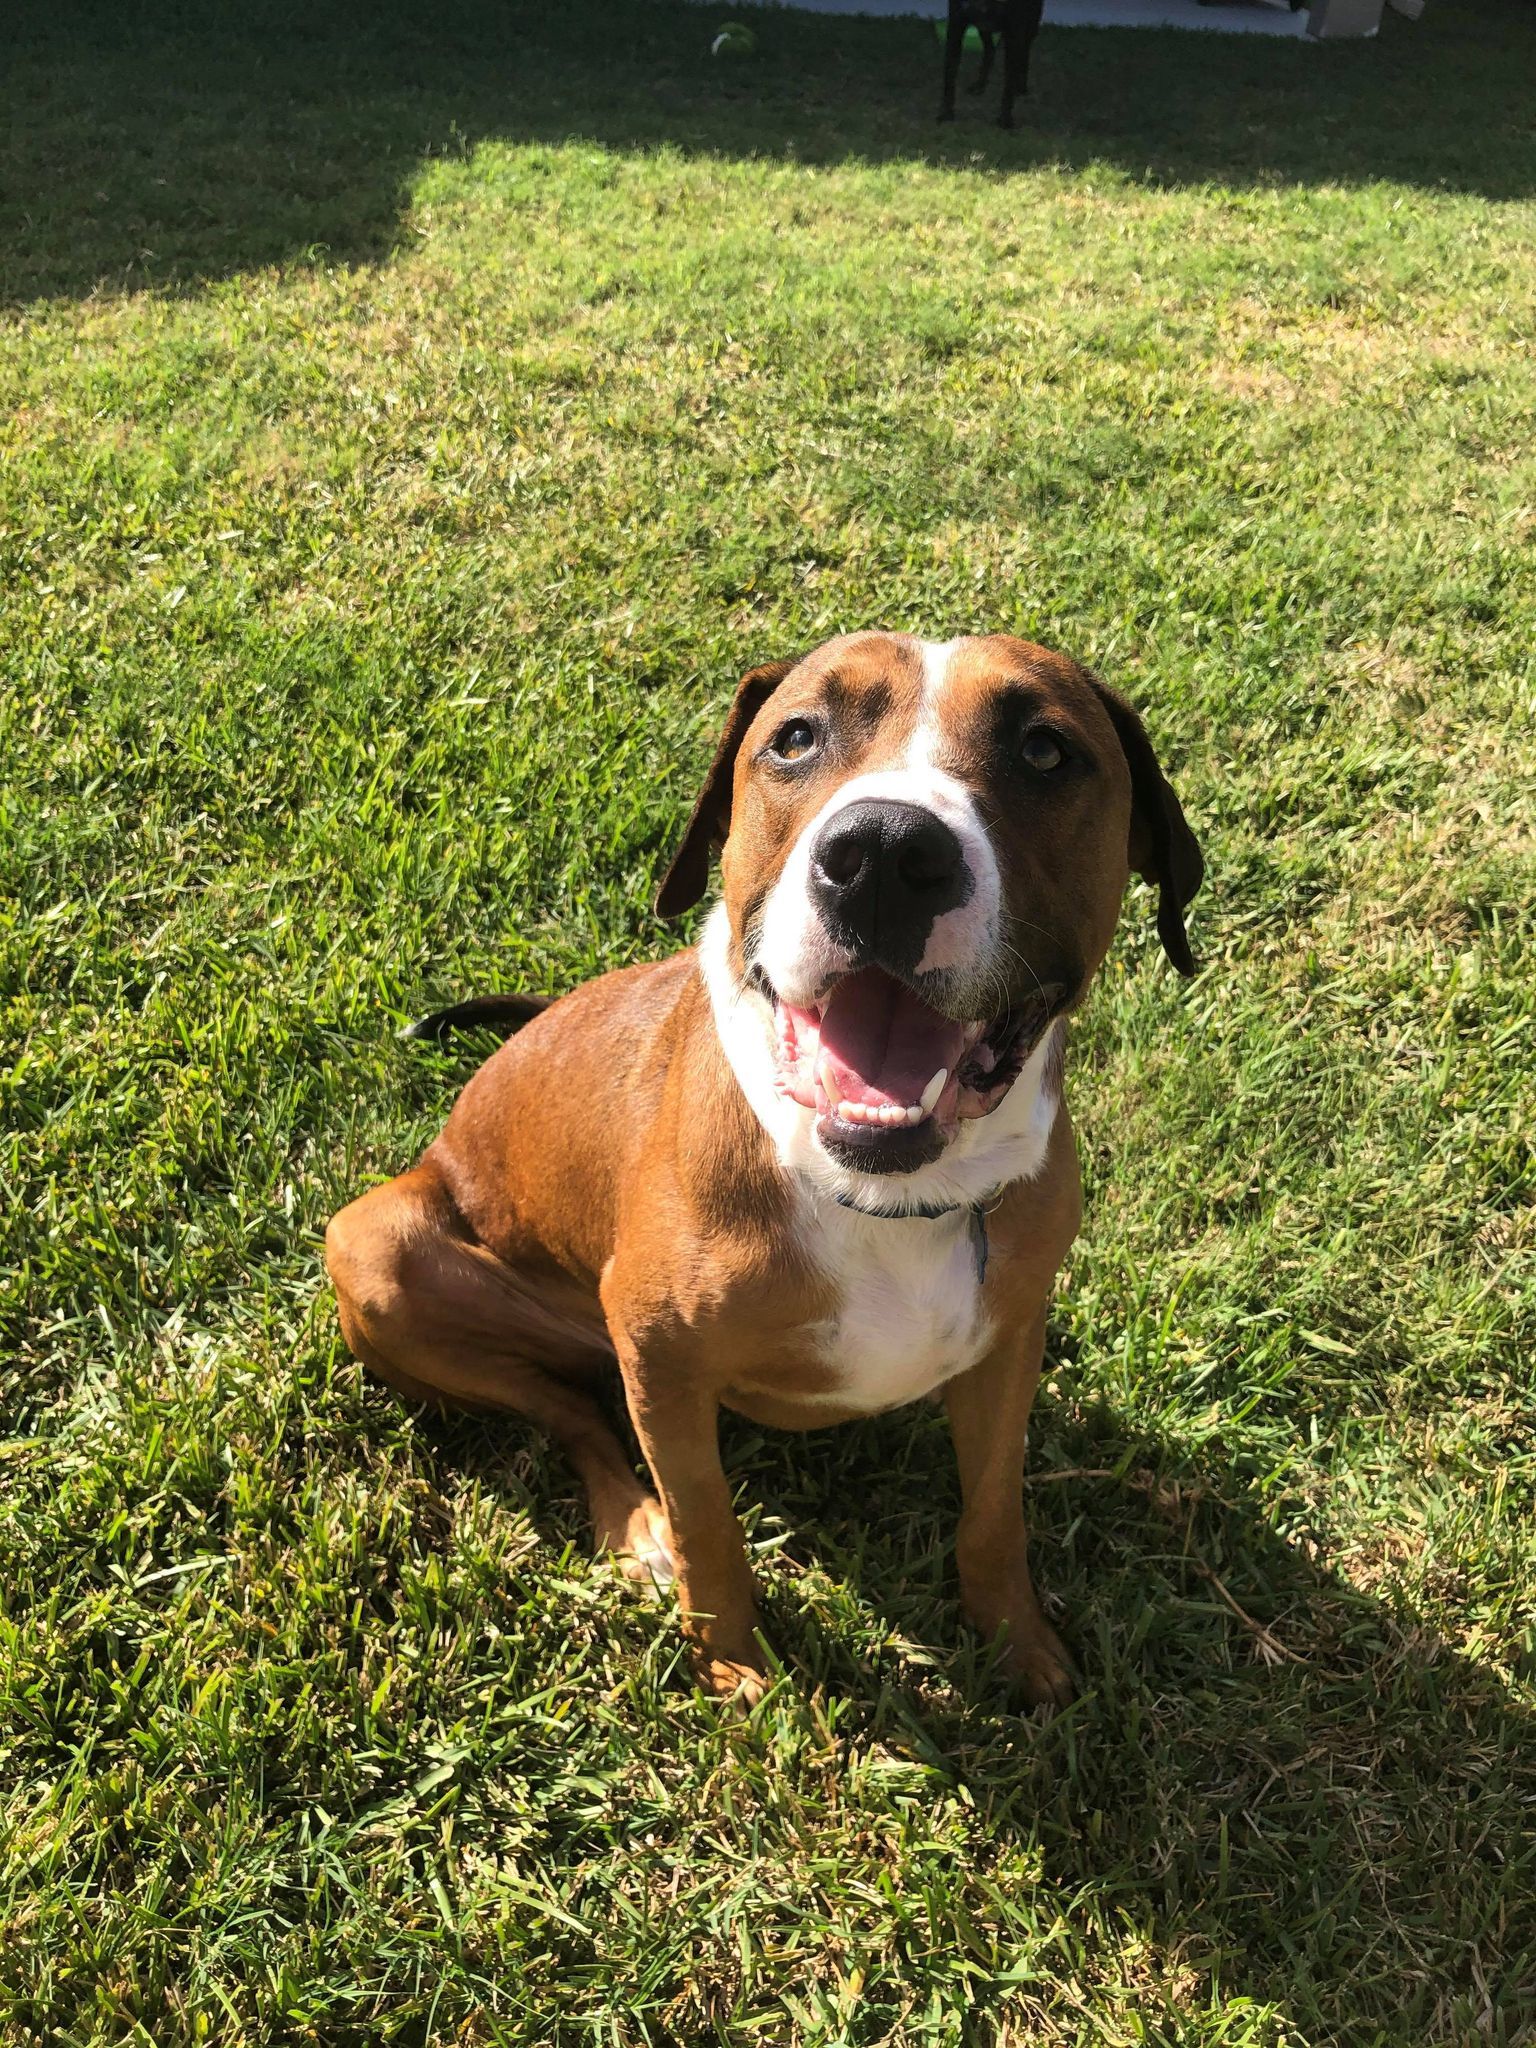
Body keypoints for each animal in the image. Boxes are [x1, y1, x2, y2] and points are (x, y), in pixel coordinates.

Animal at [331, 630, 1212, 1703]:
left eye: (1045, 750)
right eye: (795, 738)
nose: (884, 853)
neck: (885, 1196)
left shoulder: (1007, 1348)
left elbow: (994, 1511)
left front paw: (1018, 1647)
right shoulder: (660, 1363)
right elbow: (709, 1523)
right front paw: (734, 1666)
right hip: (376, 1251)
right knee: (572, 1410)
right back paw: (637, 1529)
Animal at [937, 0, 1048, 128]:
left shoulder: (1013, 30)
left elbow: (1009, 83)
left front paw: (1005, 119)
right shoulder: (956, 23)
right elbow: (950, 75)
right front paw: (946, 114)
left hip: (1031, 23)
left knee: (1025, 51)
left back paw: (1021, 86)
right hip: (984, 28)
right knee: (990, 51)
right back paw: (980, 85)